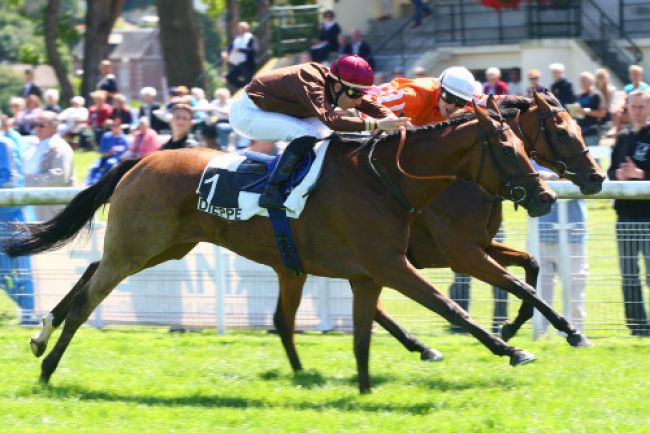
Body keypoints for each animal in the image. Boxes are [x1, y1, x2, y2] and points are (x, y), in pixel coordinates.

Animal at [8, 102, 552, 392]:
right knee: (88, 297)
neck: (387, 179)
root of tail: (139, 161)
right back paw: (49, 365)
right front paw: (512, 347)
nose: (546, 196)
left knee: (91, 270)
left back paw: (41, 335)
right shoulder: (399, 263)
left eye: (526, 144)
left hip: (163, 247)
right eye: (508, 150)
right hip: (138, 247)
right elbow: (449, 305)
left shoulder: (371, 271)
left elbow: (364, 335)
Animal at [268, 91, 604, 372]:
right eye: (562, 132)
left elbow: (530, 267)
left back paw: (422, 348)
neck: (465, 180)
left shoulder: (482, 244)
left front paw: (512, 326)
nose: (597, 177)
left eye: (578, 127)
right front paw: (569, 332)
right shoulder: (461, 253)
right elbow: (519, 284)